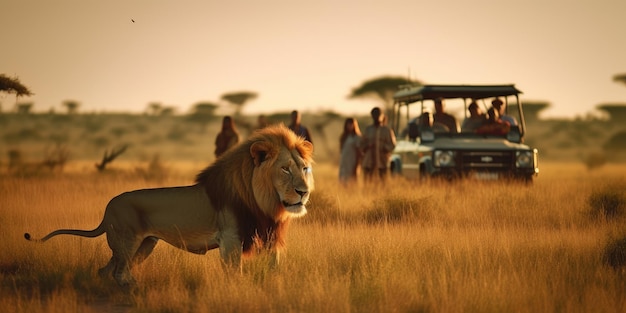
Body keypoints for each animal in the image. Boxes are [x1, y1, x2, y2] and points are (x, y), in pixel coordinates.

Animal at [24, 123, 312, 286]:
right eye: (285, 169)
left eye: (304, 168)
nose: (304, 192)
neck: (263, 200)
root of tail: (108, 208)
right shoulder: (231, 238)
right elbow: (235, 272)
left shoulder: (269, 234)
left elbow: (274, 266)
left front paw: (275, 284)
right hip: (128, 242)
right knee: (117, 273)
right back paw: (132, 288)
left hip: (144, 244)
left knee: (106, 270)